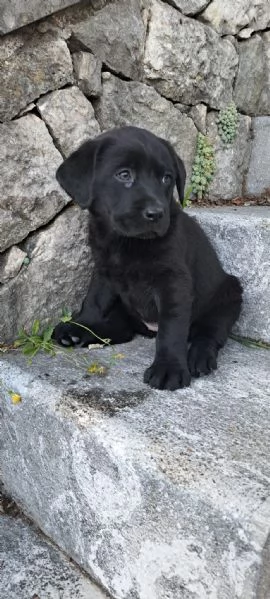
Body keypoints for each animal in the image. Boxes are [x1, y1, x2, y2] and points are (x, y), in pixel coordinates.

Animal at [53, 126, 243, 392]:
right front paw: (81, 324)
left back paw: (199, 358)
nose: (156, 214)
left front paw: (169, 367)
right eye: (124, 175)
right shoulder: (103, 270)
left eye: (167, 178)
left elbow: (172, 328)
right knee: (121, 330)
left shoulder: (174, 282)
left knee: (207, 335)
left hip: (228, 298)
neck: (126, 241)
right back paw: (83, 333)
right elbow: (93, 301)